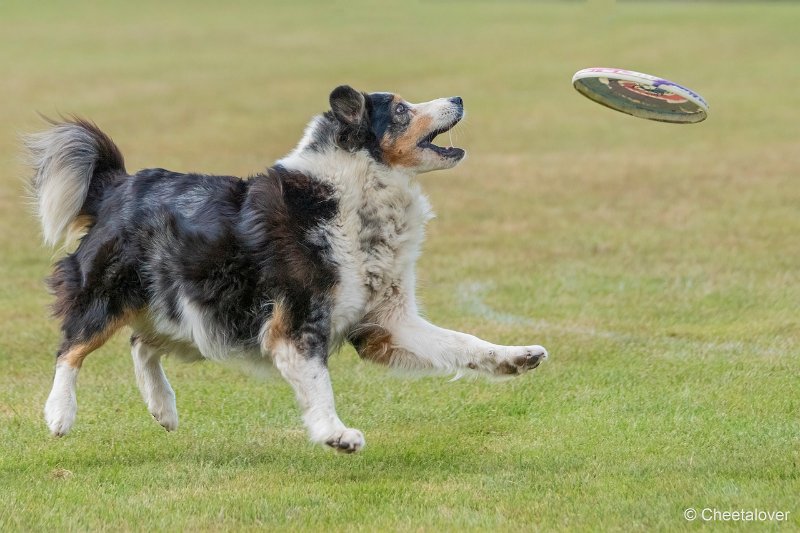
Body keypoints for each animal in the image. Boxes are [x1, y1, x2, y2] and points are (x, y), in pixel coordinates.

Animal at [28, 85, 548, 450]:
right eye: (400, 110)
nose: (458, 98)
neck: (354, 197)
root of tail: (116, 184)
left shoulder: (386, 322)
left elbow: (463, 343)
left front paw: (516, 357)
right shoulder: (296, 323)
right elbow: (320, 385)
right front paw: (336, 434)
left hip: (199, 314)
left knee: (141, 343)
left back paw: (163, 408)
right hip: (111, 293)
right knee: (71, 347)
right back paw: (59, 414)